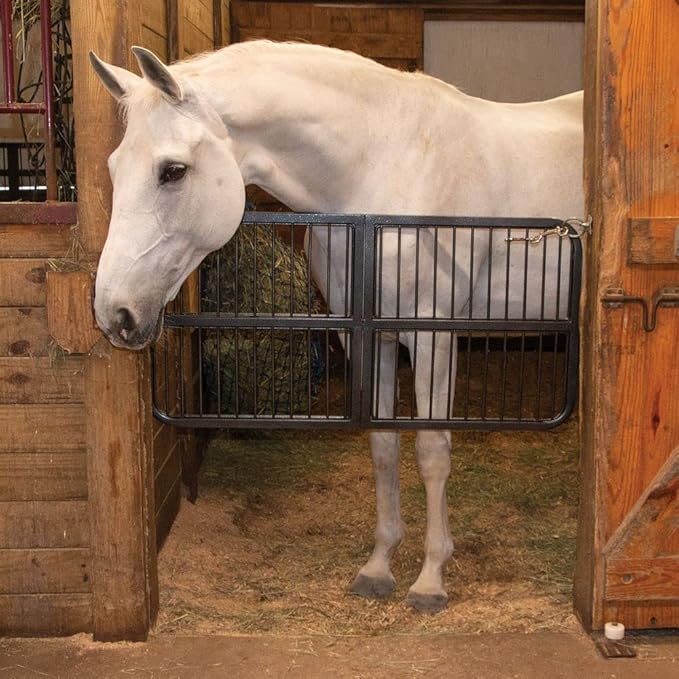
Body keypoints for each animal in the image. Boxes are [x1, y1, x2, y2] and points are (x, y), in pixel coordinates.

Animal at [89, 40, 584, 612]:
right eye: (115, 166)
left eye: (172, 170)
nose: (114, 314)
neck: (387, 168)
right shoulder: (370, 336)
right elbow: (383, 446)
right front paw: (379, 566)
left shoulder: (434, 337)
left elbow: (431, 452)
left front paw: (430, 578)